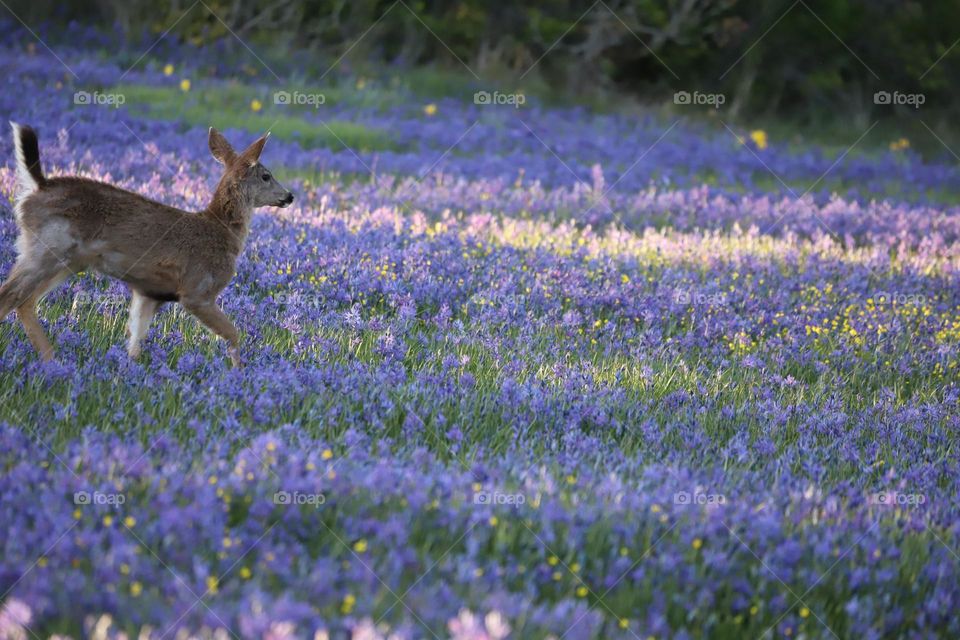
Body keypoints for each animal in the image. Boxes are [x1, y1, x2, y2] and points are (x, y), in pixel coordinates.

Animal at [0, 123, 293, 367]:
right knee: (12, 294)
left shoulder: (149, 292)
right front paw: (238, 373)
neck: (221, 229)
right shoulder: (198, 290)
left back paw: (50, 360)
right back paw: (49, 359)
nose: (289, 196)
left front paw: (130, 372)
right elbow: (234, 335)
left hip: (65, 259)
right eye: (266, 175)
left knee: (25, 300)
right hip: (50, 247)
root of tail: (37, 187)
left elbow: (135, 339)